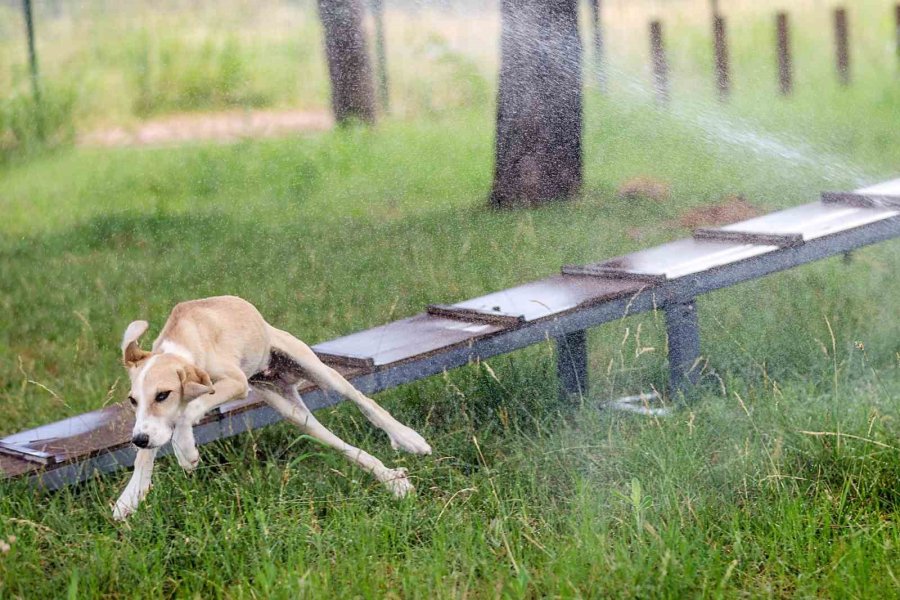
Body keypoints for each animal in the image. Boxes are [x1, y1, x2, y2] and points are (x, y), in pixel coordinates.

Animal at [114, 296, 430, 520]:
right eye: (133, 400)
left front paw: (186, 451)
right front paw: (129, 497)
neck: (180, 346)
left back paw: (408, 439)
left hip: (316, 369)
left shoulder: (235, 383)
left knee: (364, 402)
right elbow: (147, 452)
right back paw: (394, 482)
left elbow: (189, 412)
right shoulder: (152, 425)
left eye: (163, 395)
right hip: (294, 413)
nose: (137, 439)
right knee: (346, 449)